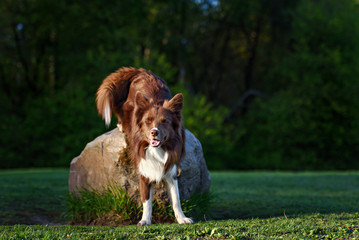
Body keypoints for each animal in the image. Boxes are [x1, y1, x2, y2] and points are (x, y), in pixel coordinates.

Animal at [94, 66, 193, 226]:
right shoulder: (145, 171)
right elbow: (146, 201)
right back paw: (121, 126)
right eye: (148, 121)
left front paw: (182, 218)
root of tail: (142, 71)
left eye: (165, 121)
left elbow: (176, 199)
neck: (157, 149)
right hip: (127, 108)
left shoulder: (171, 170)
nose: (154, 132)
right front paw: (145, 220)